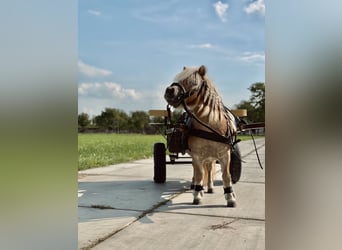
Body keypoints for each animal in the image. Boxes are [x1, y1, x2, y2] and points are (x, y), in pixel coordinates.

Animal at [164, 65, 236, 207]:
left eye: (193, 82)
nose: (169, 91)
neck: (210, 126)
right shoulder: (197, 155)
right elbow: (199, 174)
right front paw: (197, 194)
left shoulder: (225, 155)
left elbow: (226, 175)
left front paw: (230, 197)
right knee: (199, 171)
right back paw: (196, 186)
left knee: (209, 168)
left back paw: (210, 187)